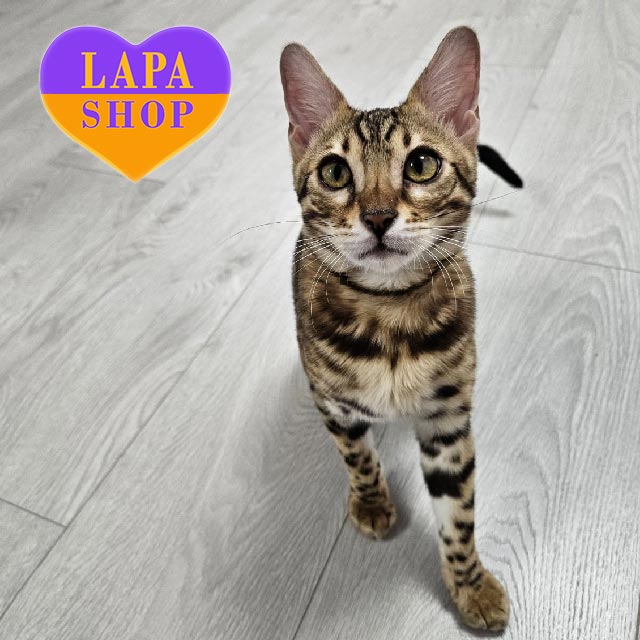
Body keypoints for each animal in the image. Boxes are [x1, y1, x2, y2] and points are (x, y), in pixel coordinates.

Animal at [280, 26, 517, 631]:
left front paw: (470, 585)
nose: (379, 216)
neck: (388, 317)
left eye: (422, 164)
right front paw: (371, 501)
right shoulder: (333, 403)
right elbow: (358, 457)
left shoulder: (447, 420)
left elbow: (459, 514)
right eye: (334, 172)